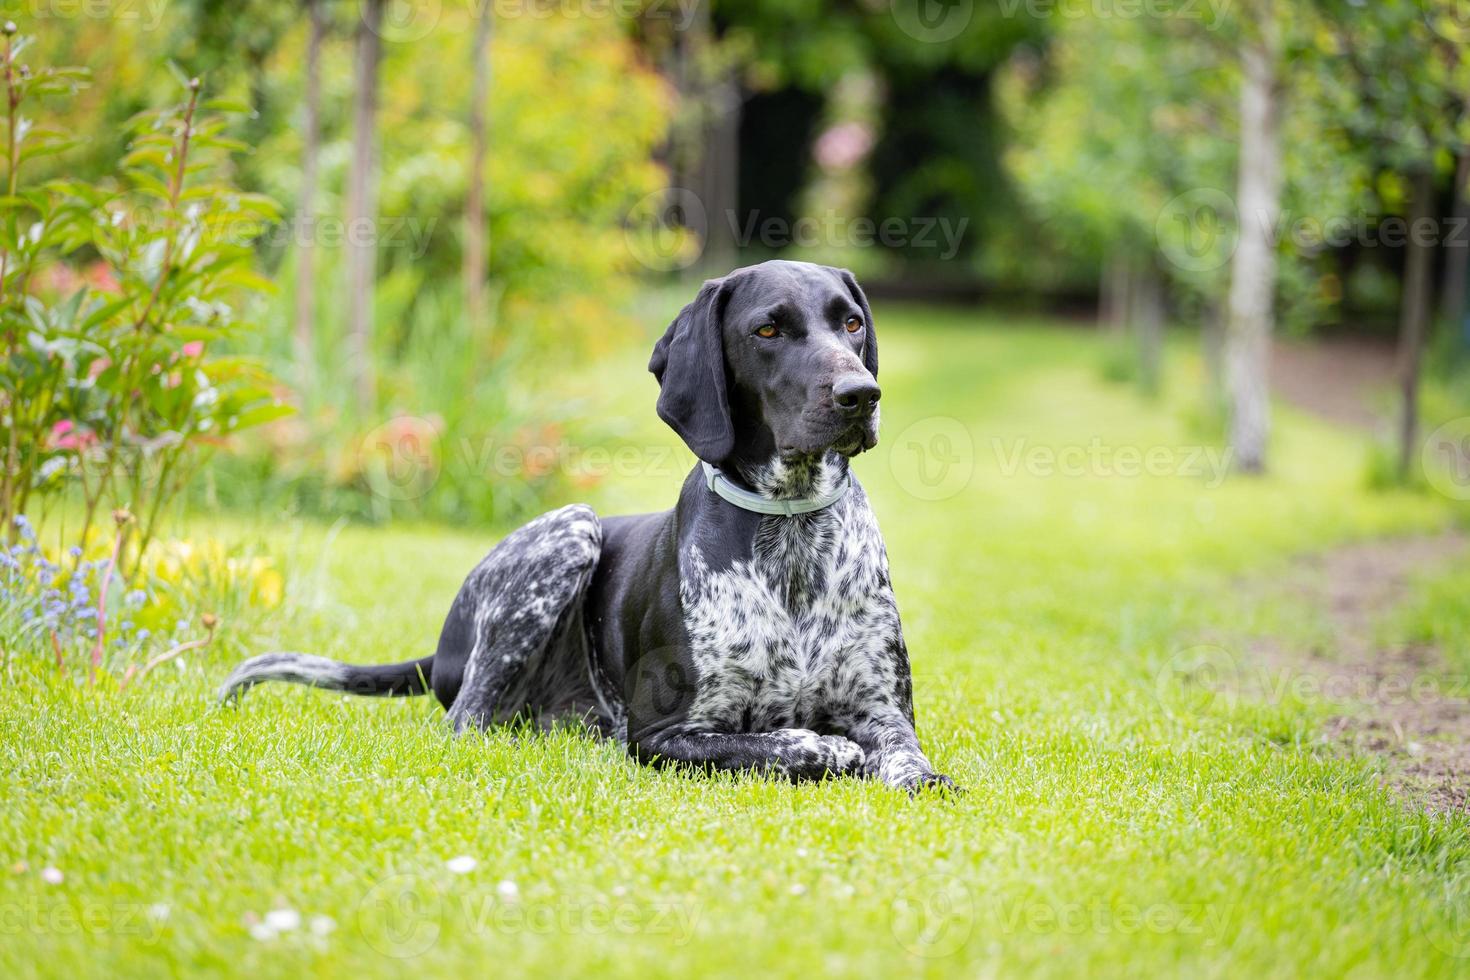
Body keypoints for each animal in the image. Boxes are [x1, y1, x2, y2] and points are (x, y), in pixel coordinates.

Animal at [217, 262, 952, 799]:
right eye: (768, 331)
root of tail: (444, 648)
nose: (861, 395)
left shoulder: (885, 711)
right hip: (570, 530)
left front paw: (914, 774)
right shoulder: (663, 735)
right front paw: (830, 750)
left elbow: (905, 758)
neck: (792, 530)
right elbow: (793, 744)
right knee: (466, 722)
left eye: (851, 323)